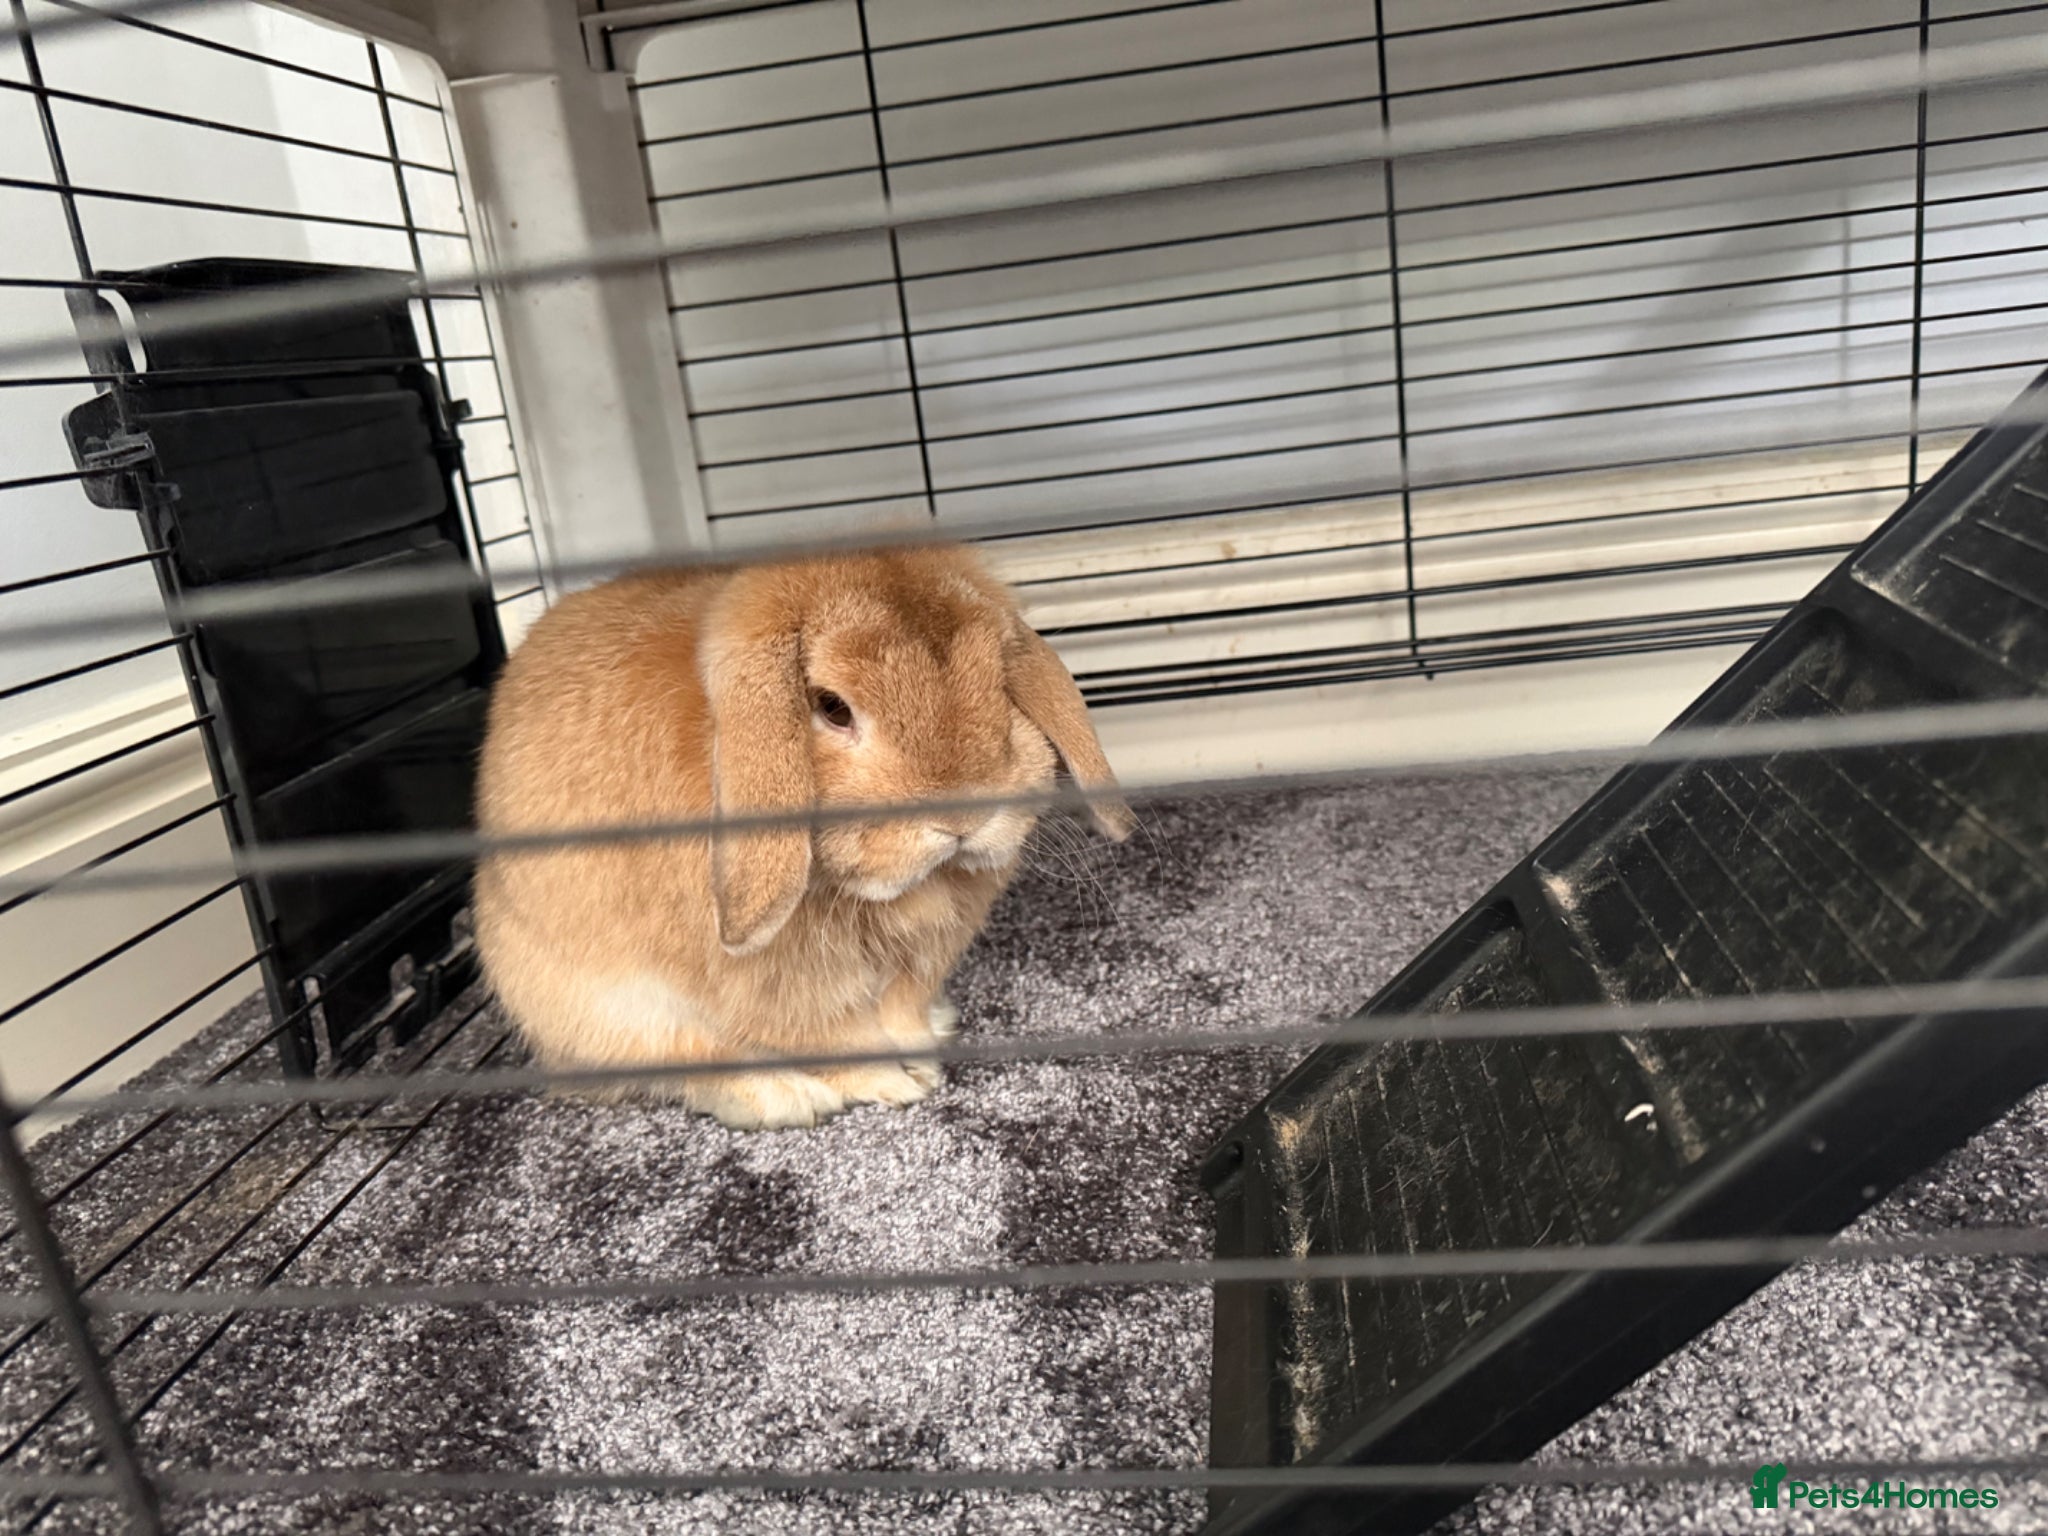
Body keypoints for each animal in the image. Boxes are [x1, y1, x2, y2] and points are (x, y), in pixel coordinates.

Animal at [471, 545, 1132, 1130]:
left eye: (999, 683)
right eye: (832, 706)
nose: (963, 818)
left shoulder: (920, 959)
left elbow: (902, 1010)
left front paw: (922, 1055)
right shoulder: (789, 988)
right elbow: (839, 1038)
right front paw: (897, 1084)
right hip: (607, 1010)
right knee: (683, 1064)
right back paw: (779, 1098)